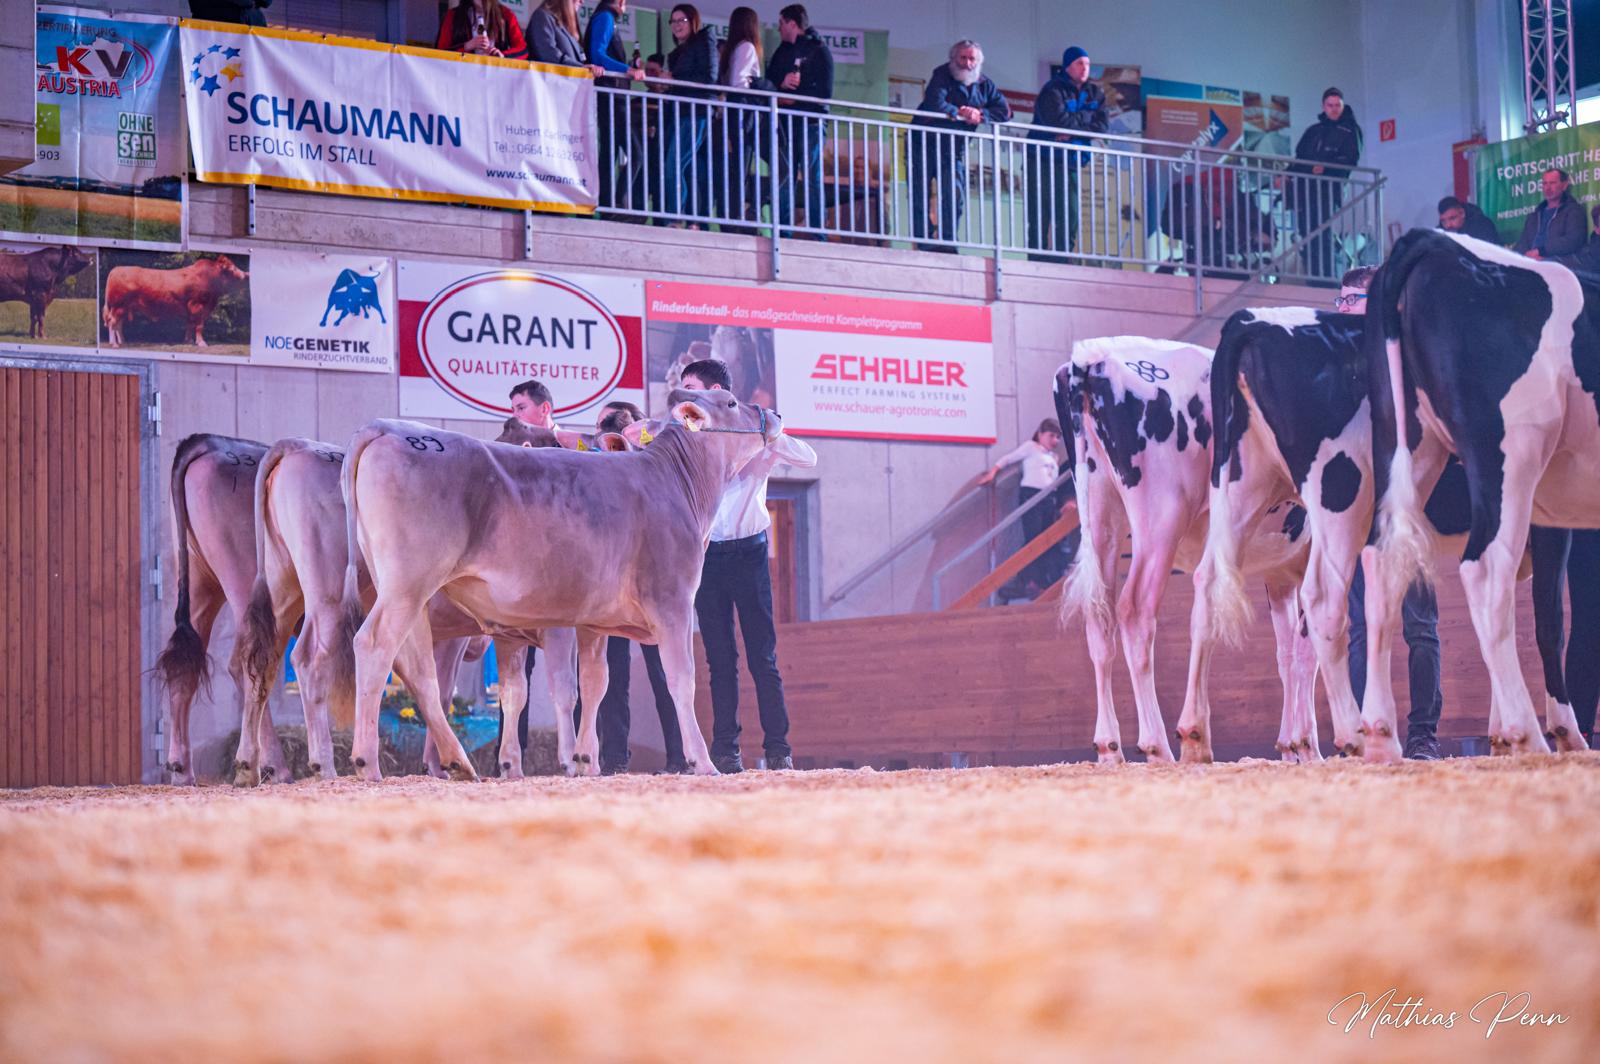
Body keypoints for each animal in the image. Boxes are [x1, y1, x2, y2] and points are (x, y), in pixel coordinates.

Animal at [103, 254, 248, 347]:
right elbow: (199, 325)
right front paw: (201, 342)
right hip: (118, 305)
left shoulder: (191, 308)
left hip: (123, 307)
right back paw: (114, 344)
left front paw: (189, 341)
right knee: (112, 322)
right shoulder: (198, 305)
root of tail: (117, 269)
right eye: (232, 268)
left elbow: (190, 324)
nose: (246, 275)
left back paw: (122, 342)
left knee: (118, 324)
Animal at [328, 390, 777, 780]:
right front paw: (702, 762)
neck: (675, 484)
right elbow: (680, 680)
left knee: (419, 670)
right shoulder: (672, 601)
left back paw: (458, 763)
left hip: (412, 595)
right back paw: (367, 762)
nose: (773, 414)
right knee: (373, 645)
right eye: (731, 401)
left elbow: (593, 684)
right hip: (407, 583)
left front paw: (584, 761)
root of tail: (386, 427)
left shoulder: (593, 621)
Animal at [1056, 336, 1318, 758]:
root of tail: (1093, 358)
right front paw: (1310, 743)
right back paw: (1160, 745)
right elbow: (1313, 645)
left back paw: (1110, 747)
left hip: (1100, 515)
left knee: (1100, 620)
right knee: (1136, 610)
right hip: (1162, 515)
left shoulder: (1280, 573)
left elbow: (1288, 652)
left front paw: (1292, 745)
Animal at [1363, 228, 1600, 758]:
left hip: (1408, 442)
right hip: (1513, 450)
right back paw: (1529, 735)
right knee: (1488, 569)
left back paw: (1379, 735)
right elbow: (1551, 615)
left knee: (1382, 564)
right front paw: (1559, 731)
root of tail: (1435, 241)